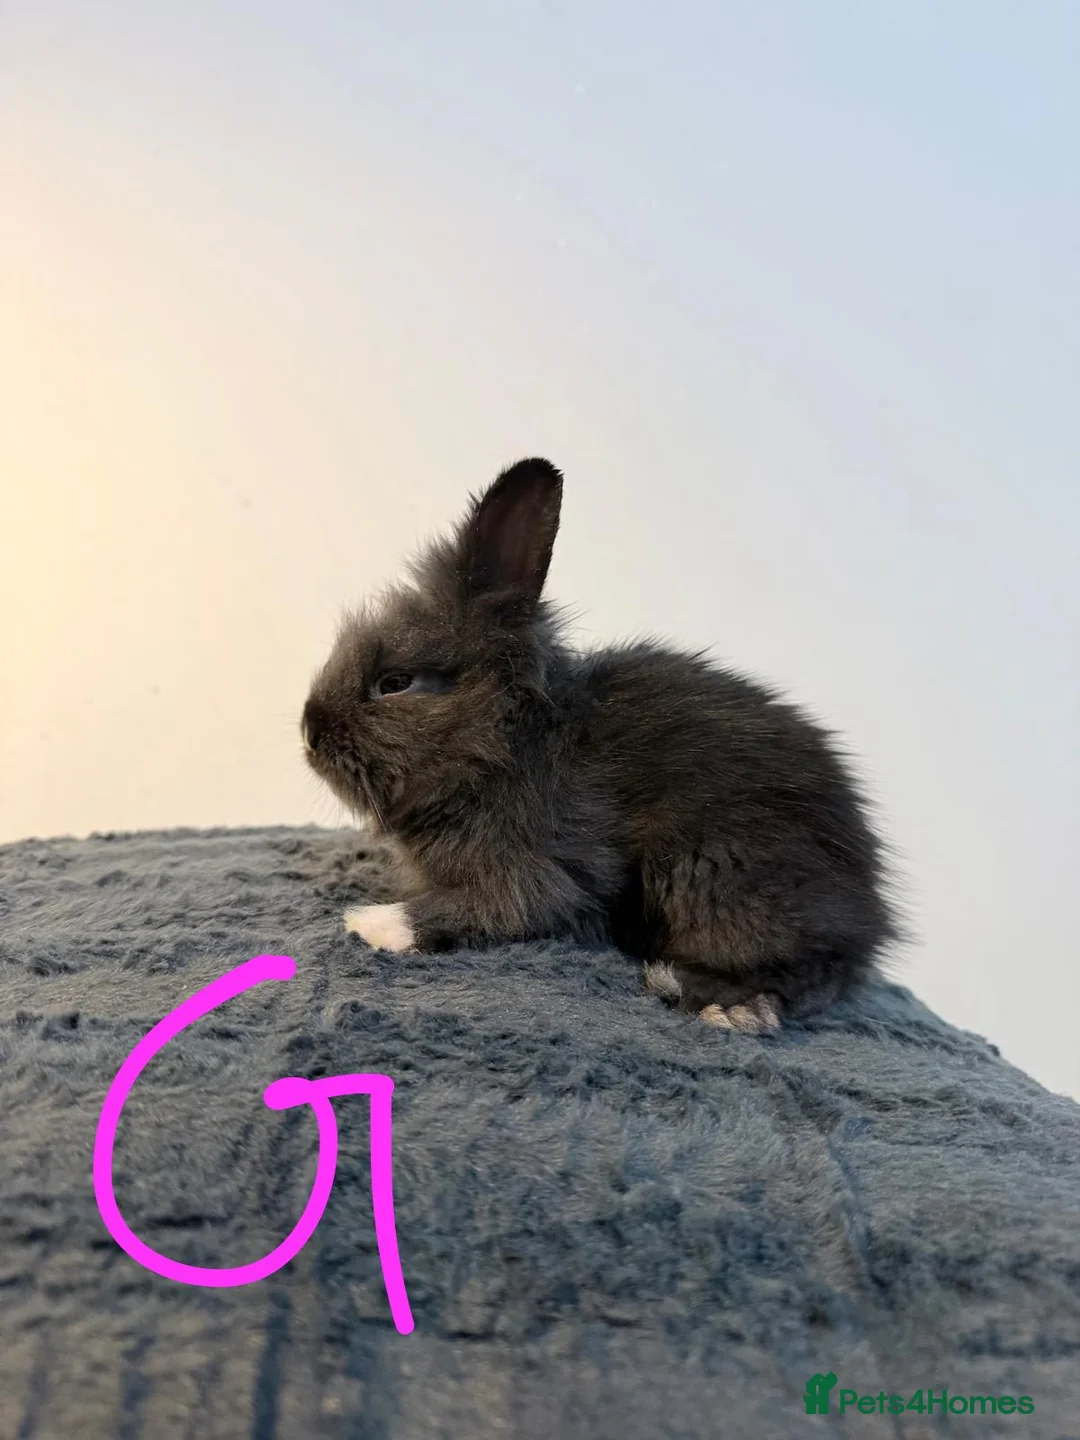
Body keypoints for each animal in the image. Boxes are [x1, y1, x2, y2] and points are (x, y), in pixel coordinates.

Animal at [301, 457, 901, 1032]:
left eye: (396, 683)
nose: (309, 732)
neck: (502, 744)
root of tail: (869, 914)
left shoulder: (543, 866)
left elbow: (496, 908)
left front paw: (371, 922)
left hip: (718, 874)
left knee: (810, 973)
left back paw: (717, 1001)